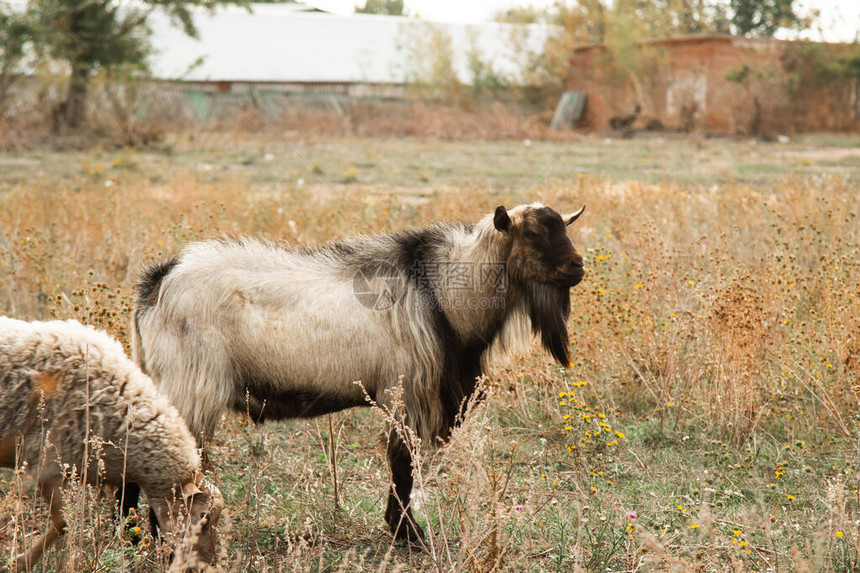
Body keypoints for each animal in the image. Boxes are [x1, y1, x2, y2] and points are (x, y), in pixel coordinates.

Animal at [0, 318, 225, 572]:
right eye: (203, 516)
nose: (206, 566)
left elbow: (64, 522)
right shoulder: (48, 466)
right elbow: (64, 521)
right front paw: (21, 562)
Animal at [133, 202, 584, 540]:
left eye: (563, 228)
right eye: (533, 235)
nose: (578, 266)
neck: (442, 294)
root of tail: (158, 283)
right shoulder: (406, 394)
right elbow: (402, 464)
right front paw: (408, 535)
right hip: (189, 388)